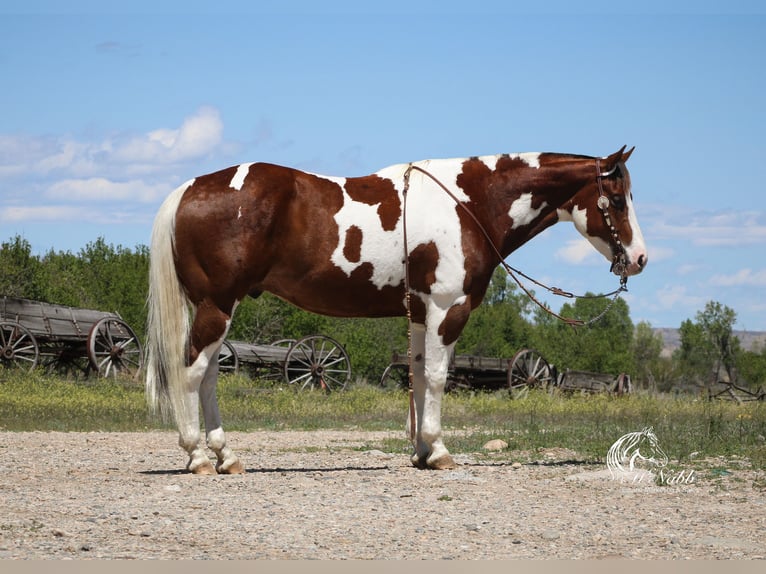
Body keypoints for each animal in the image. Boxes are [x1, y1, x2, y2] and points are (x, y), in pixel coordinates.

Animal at [144, 147, 648, 476]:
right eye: (616, 199)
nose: (640, 259)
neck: (468, 203)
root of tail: (189, 189)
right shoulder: (448, 308)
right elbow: (440, 379)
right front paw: (439, 452)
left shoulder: (422, 314)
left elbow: (420, 376)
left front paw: (421, 452)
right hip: (216, 305)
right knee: (191, 373)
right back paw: (197, 457)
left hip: (216, 309)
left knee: (209, 377)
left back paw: (226, 457)